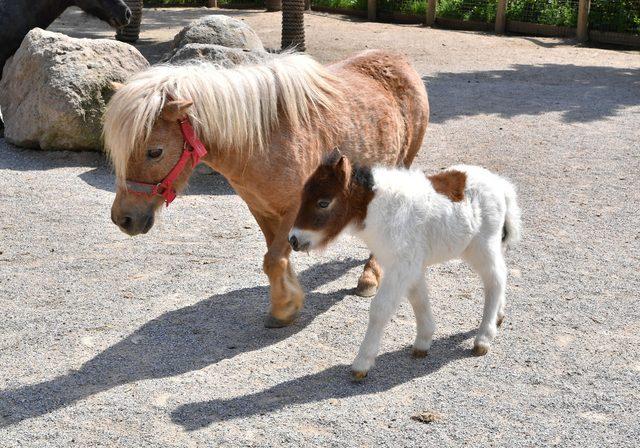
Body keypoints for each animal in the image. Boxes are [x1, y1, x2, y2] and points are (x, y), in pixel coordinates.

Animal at [102, 50, 428, 328]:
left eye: (155, 152)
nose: (123, 218)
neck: (263, 140)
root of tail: (399, 60)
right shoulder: (262, 209)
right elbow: (277, 257)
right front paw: (289, 301)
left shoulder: (296, 209)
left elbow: (273, 259)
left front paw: (285, 307)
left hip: (402, 162)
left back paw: (370, 277)